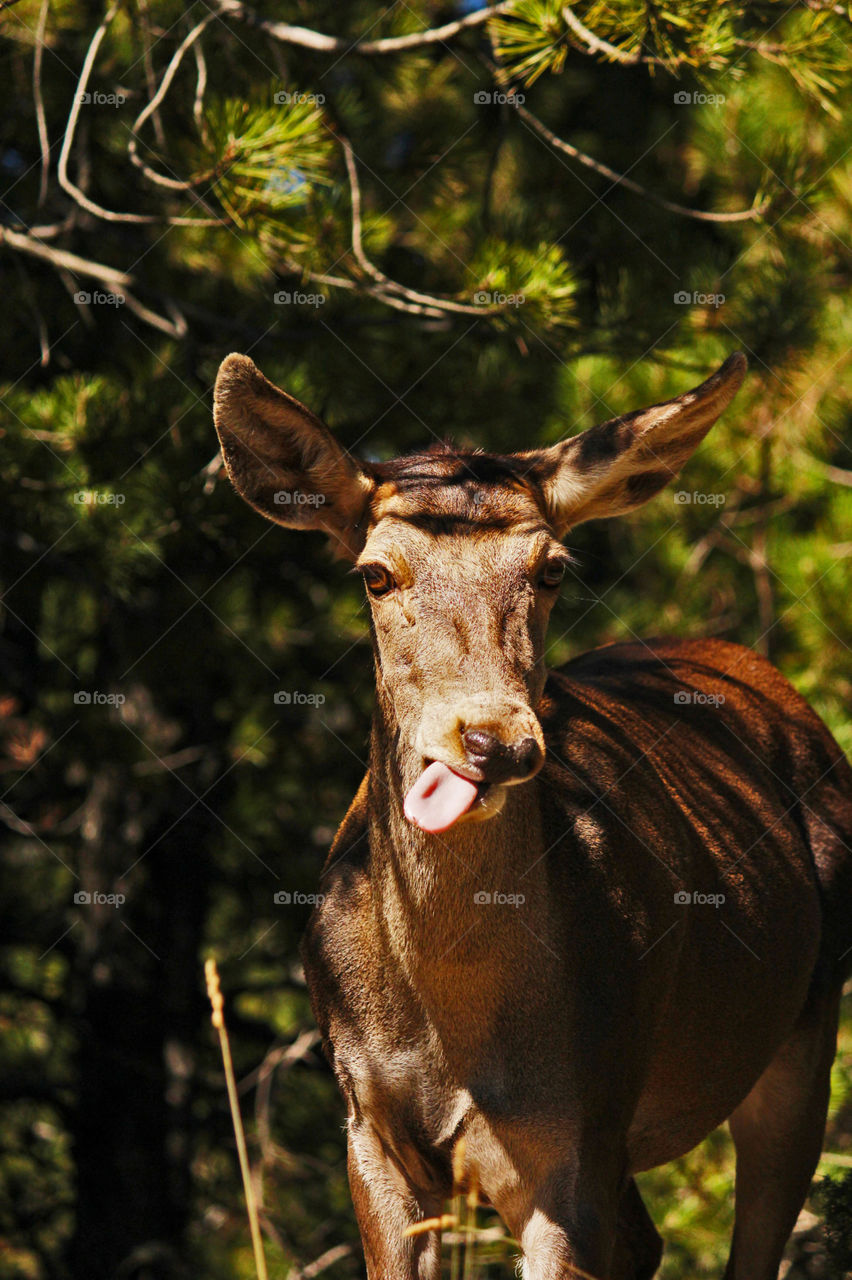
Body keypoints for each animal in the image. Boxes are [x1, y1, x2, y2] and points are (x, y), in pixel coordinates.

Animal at [213, 350, 849, 1280]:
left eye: (551, 569)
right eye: (375, 573)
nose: (492, 739)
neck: (454, 1023)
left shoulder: (577, 1132)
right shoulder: (367, 1126)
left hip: (808, 1021)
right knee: (648, 1240)